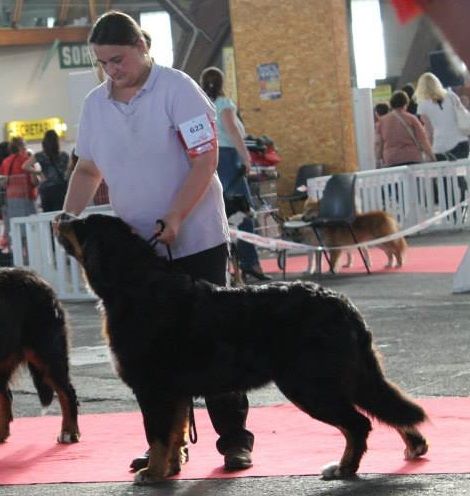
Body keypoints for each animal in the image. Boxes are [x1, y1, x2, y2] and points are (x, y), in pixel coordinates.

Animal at [57, 213, 428, 484]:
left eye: (81, 224)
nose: (61, 215)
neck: (133, 286)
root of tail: (342, 304)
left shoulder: (154, 388)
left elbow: (158, 435)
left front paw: (153, 473)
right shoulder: (175, 392)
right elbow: (175, 433)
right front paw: (171, 469)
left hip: (310, 385)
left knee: (359, 423)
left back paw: (344, 468)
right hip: (345, 376)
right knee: (385, 407)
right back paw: (413, 446)